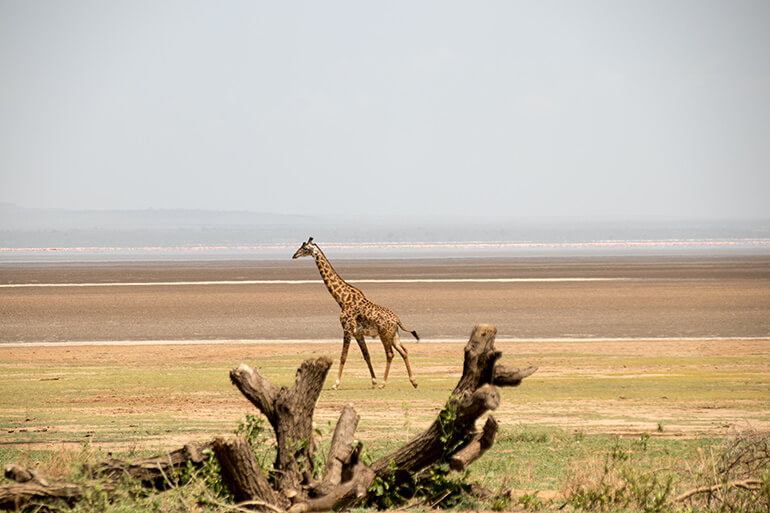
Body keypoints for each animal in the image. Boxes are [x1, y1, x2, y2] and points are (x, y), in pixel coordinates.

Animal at [292, 236, 420, 388]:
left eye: (305, 248)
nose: (294, 255)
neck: (342, 300)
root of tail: (397, 320)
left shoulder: (347, 329)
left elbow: (343, 356)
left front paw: (336, 383)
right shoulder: (358, 333)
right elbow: (366, 356)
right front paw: (373, 381)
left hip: (384, 334)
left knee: (390, 354)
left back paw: (384, 383)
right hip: (394, 335)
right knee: (404, 351)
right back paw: (413, 381)